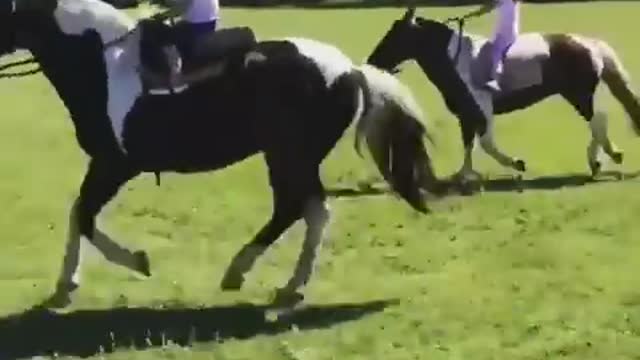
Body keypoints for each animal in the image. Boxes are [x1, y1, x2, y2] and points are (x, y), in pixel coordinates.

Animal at [0, 0, 440, 308]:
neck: (103, 62)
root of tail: (350, 70)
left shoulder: (116, 165)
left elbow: (87, 217)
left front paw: (137, 261)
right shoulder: (103, 164)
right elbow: (78, 213)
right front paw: (65, 285)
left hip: (290, 156)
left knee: (306, 210)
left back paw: (277, 282)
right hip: (288, 157)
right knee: (299, 209)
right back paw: (257, 277)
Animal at [368, 7, 640, 183]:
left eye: (397, 35)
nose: (372, 62)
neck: (456, 59)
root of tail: (589, 43)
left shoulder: (482, 108)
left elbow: (486, 143)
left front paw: (517, 163)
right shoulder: (465, 113)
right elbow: (468, 143)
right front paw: (463, 176)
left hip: (579, 94)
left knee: (598, 120)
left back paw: (605, 158)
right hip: (578, 94)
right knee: (597, 121)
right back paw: (599, 161)